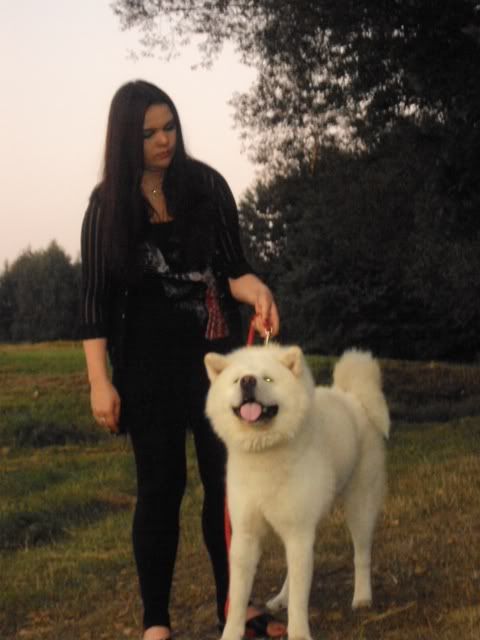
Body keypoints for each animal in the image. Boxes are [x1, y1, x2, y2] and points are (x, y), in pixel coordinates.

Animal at [204, 344, 390, 640]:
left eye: (267, 378)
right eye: (236, 380)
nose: (248, 381)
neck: (264, 455)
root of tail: (352, 398)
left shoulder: (298, 532)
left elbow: (299, 600)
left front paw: (299, 633)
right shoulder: (247, 535)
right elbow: (238, 597)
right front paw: (231, 633)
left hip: (359, 506)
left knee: (361, 554)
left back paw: (362, 597)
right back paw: (281, 597)